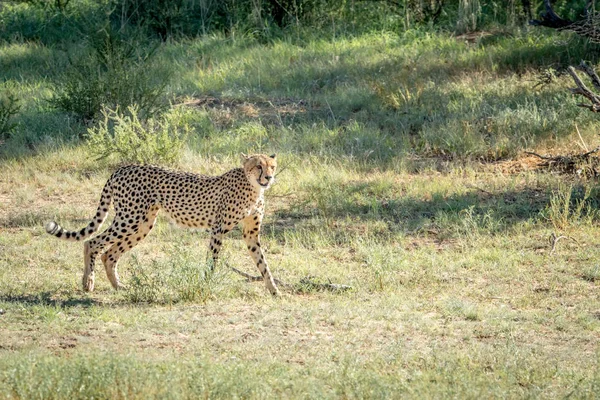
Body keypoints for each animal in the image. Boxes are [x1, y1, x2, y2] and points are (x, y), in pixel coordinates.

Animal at [45, 155, 280, 296]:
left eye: (272, 166)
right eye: (258, 166)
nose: (269, 177)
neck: (253, 188)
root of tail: (122, 168)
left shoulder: (251, 234)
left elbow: (263, 263)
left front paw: (274, 290)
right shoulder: (218, 229)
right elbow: (212, 261)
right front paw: (208, 283)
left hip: (143, 224)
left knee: (109, 253)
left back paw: (118, 286)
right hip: (130, 218)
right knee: (92, 242)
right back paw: (88, 282)